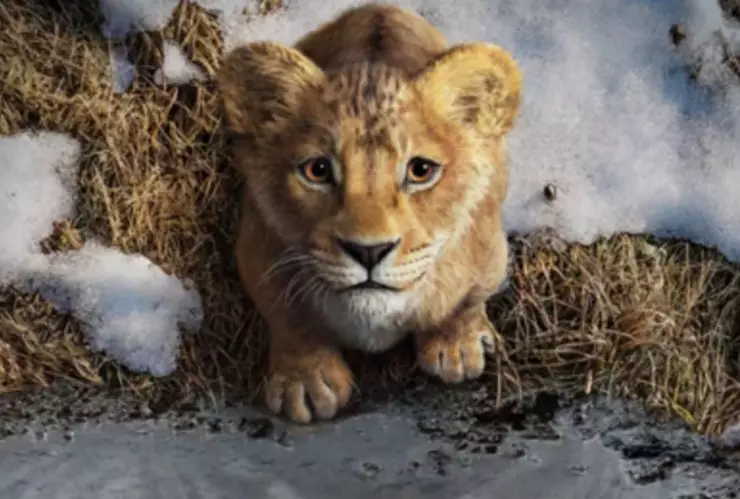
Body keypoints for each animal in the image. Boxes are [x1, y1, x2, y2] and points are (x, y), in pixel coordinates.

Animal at [217, 2, 522, 424]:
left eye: (421, 170)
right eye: (317, 170)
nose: (369, 251)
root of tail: (380, 7)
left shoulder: (489, 249)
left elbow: (467, 299)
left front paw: (456, 346)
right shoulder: (258, 251)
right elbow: (289, 318)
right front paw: (305, 381)